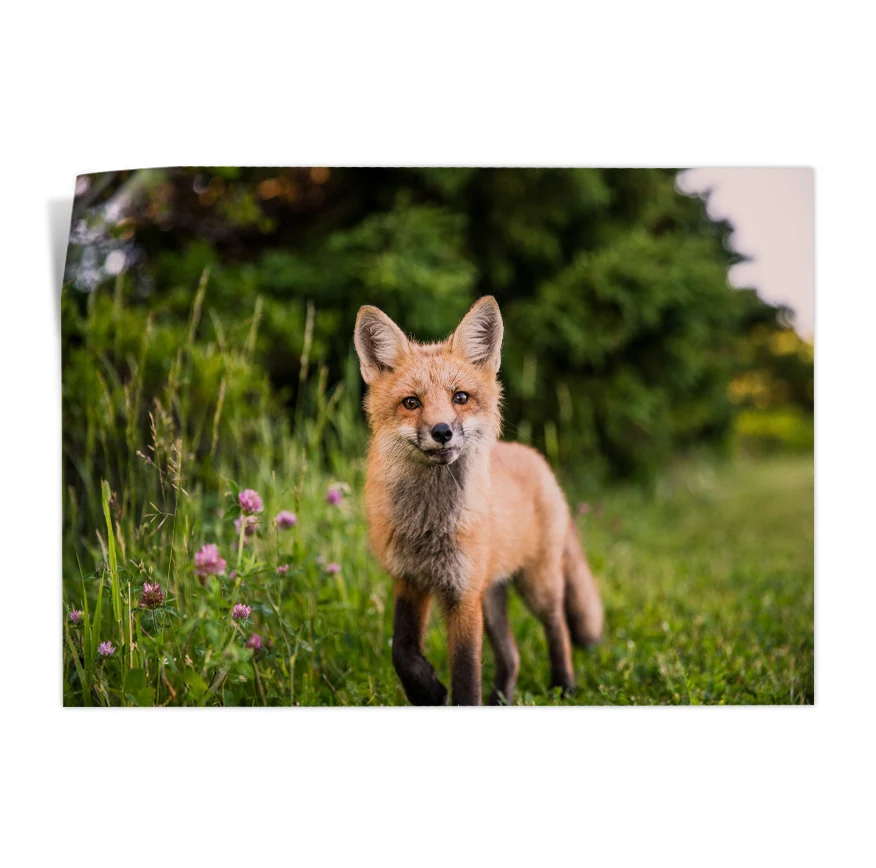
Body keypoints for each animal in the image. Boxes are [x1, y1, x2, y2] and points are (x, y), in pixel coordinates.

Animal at [354, 295, 604, 706]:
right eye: (411, 402)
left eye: (460, 398)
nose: (442, 431)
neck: (430, 527)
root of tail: (534, 457)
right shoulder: (410, 580)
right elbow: (402, 651)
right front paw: (426, 691)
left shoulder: (463, 594)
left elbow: (467, 674)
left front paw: (449, 694)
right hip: (492, 595)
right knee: (513, 655)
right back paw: (502, 697)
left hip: (537, 585)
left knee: (559, 628)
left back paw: (564, 684)